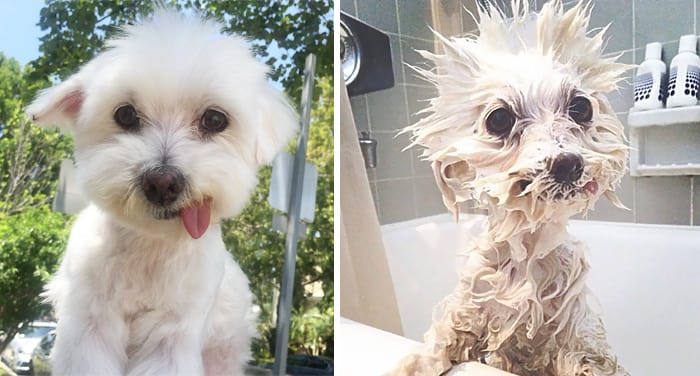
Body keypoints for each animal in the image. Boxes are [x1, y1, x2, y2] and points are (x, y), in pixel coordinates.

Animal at [25, 9, 296, 376]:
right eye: (125, 114)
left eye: (214, 119)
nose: (162, 181)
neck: (151, 244)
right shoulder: (89, 324)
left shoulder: (173, 333)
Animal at [394, 0, 628, 376]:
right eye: (500, 119)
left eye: (581, 107)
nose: (567, 164)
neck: (528, 254)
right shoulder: (470, 310)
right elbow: (438, 346)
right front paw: (415, 363)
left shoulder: (573, 333)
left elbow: (589, 359)